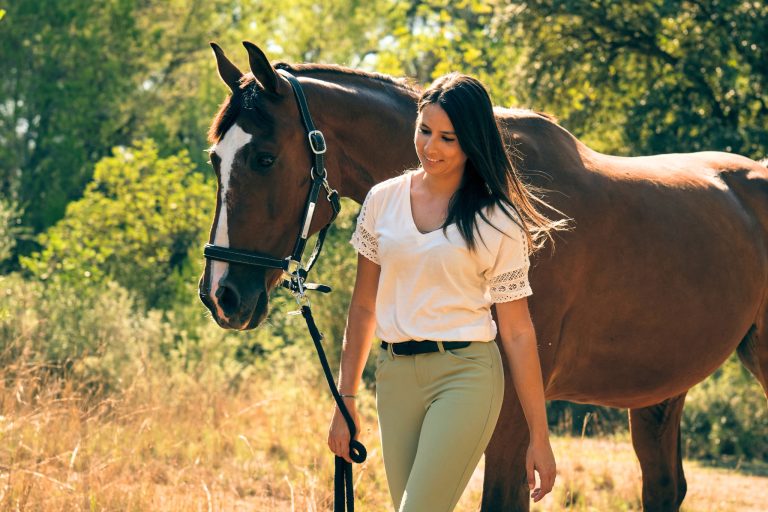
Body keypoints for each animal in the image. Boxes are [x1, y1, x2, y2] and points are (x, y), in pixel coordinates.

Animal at [198, 41, 768, 511]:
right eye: (215, 159)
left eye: (264, 158)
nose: (220, 294)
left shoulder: (515, 408)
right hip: (659, 394)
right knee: (665, 487)